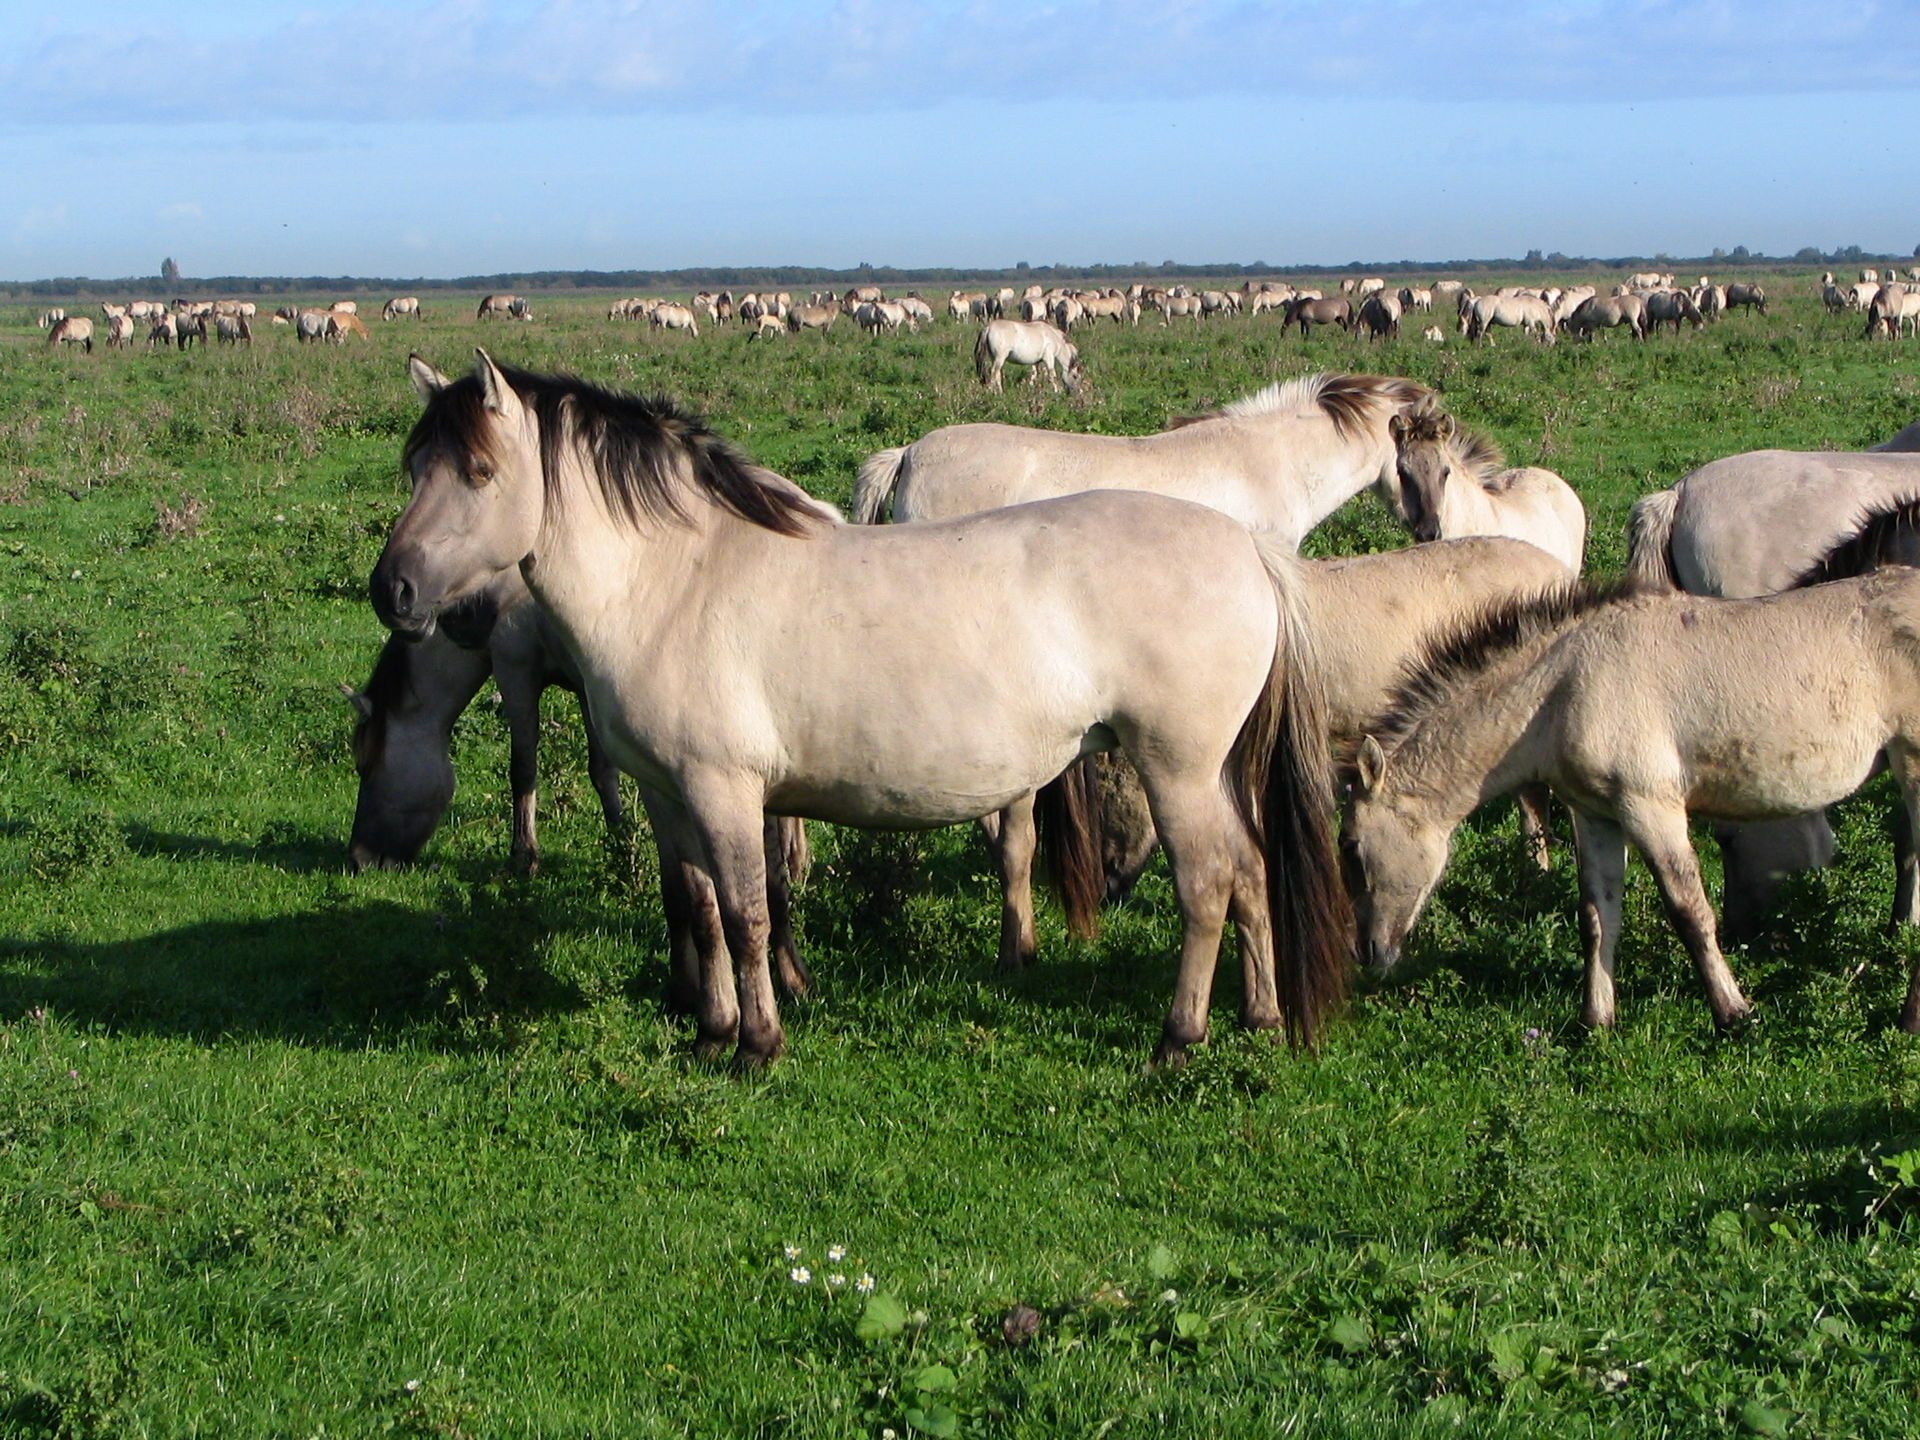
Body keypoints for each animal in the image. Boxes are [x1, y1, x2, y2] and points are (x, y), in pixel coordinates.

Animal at [1344, 576, 1920, 1036]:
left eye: (1351, 849)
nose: (1369, 953)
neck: (1562, 688)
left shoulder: (1651, 808)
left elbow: (1690, 912)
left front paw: (1734, 1013)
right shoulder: (1596, 816)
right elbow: (1597, 916)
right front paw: (1595, 1022)